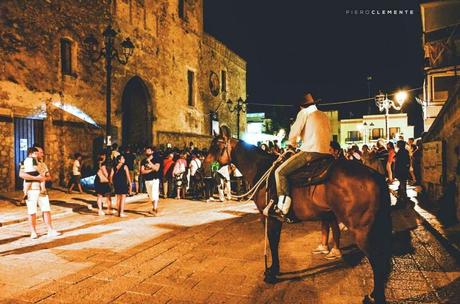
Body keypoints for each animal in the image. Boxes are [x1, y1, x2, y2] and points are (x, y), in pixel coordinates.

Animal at [205, 132, 392, 304]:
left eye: (216, 145)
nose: (205, 167)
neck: (260, 169)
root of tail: (375, 175)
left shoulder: (271, 218)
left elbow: (273, 243)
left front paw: (272, 273)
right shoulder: (275, 220)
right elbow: (275, 243)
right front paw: (273, 269)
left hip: (361, 231)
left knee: (377, 260)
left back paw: (374, 296)